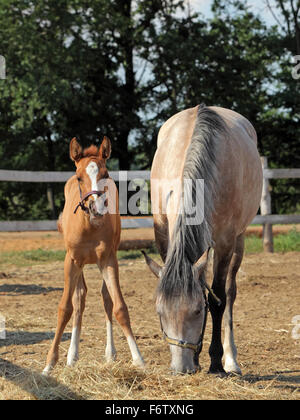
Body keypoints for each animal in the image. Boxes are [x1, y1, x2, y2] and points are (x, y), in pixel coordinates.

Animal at [42, 137, 145, 374]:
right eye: (80, 177)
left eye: (105, 174)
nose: (97, 208)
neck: (89, 226)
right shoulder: (71, 261)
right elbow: (65, 308)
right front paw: (49, 364)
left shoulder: (108, 260)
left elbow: (119, 307)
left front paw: (138, 359)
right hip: (78, 264)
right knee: (79, 298)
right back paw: (72, 356)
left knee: (105, 298)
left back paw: (109, 353)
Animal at [143, 105, 262, 374]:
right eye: (159, 312)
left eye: (197, 311)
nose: (181, 368)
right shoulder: (163, 234)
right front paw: (198, 358)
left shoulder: (226, 241)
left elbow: (217, 300)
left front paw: (216, 362)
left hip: (239, 241)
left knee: (229, 293)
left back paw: (231, 360)